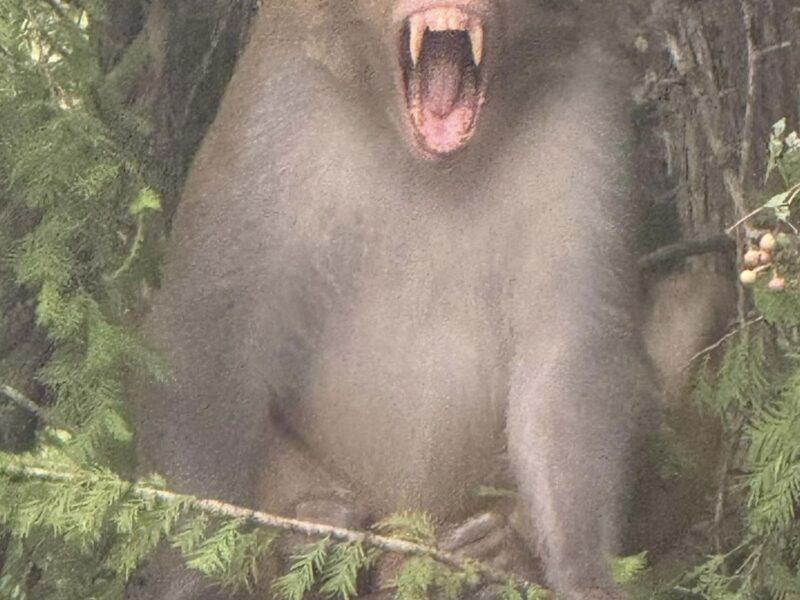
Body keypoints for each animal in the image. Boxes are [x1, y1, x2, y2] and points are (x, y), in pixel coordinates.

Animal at [130, 2, 662, 599]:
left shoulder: (586, 104)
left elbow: (568, 354)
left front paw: (580, 573)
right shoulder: (277, 98)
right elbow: (206, 333)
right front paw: (197, 576)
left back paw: (496, 556)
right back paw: (312, 536)